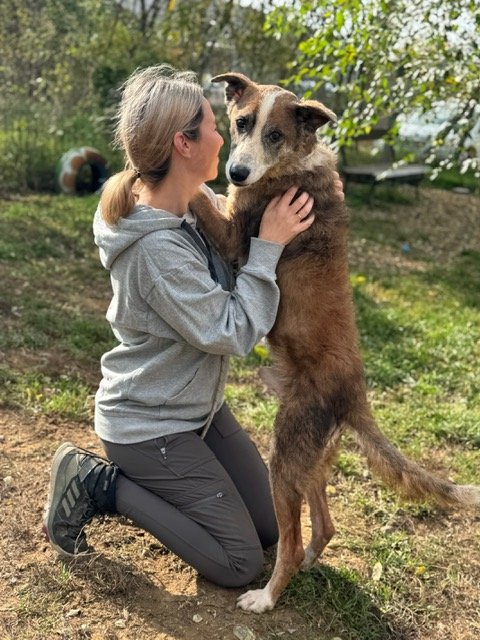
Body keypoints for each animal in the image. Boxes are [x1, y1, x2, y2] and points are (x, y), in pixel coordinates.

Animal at [190, 72, 480, 613]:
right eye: (241, 123)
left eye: (275, 134)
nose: (237, 171)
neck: (292, 164)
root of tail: (355, 396)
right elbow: (209, 192)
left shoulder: (236, 234)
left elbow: (200, 194)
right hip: (311, 458)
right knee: (323, 525)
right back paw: (307, 565)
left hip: (285, 456)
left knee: (292, 539)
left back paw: (267, 597)